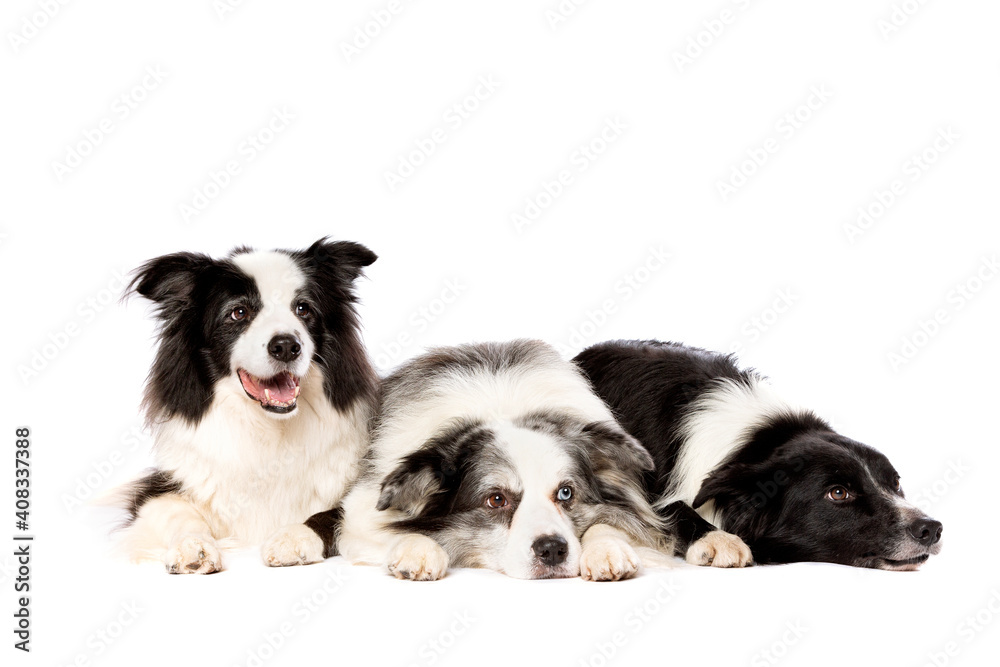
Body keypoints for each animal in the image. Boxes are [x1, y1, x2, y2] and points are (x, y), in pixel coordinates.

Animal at [120, 240, 378, 576]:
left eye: (303, 308)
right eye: (238, 312)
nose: (286, 346)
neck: (268, 429)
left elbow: (332, 514)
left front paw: (293, 536)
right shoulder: (157, 489)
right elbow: (180, 514)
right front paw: (193, 546)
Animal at [332, 342, 684, 580]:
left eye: (566, 493)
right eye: (496, 499)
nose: (552, 550)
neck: (501, 409)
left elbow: (613, 522)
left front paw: (607, 549)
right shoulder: (362, 508)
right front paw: (417, 549)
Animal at [576, 342, 940, 572]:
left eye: (895, 482)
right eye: (838, 493)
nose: (932, 528)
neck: (757, 440)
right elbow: (672, 508)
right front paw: (717, 537)